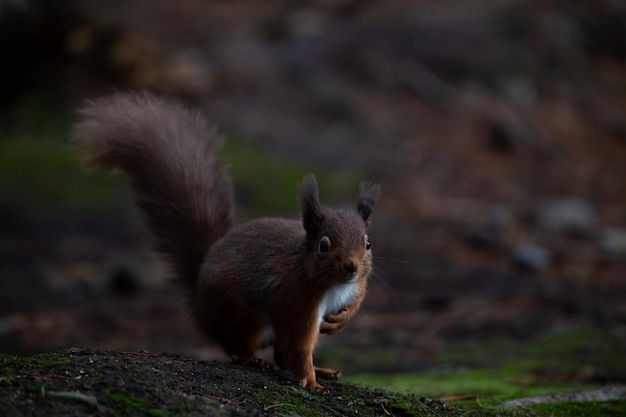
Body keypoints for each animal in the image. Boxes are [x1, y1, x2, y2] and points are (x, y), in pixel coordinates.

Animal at [70, 92, 378, 394]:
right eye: (323, 245)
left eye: (367, 244)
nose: (351, 267)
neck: (333, 285)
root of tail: (198, 296)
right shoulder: (295, 301)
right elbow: (299, 346)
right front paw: (310, 381)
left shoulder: (355, 288)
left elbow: (355, 302)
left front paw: (340, 322)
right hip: (239, 311)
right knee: (239, 344)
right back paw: (250, 358)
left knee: (279, 355)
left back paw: (322, 369)